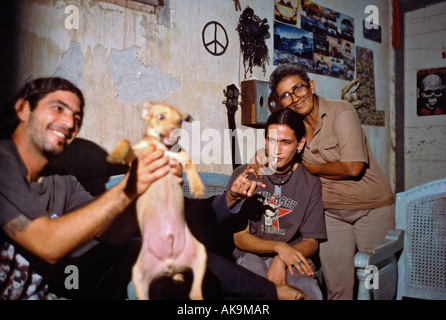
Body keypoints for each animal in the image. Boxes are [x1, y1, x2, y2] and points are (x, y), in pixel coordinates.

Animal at [107, 102, 206, 300]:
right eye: (160, 117)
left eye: (179, 121)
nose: (175, 132)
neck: (161, 147)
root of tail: (168, 265)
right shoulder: (136, 158)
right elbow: (126, 142)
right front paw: (115, 154)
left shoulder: (178, 157)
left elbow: (190, 161)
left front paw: (197, 186)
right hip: (138, 275)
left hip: (200, 252)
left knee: (195, 290)